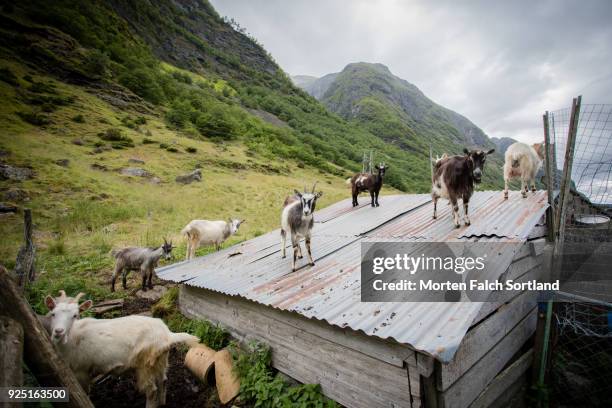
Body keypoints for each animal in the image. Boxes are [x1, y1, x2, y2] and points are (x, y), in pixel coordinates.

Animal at [45, 290, 198, 408]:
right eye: (53, 313)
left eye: (75, 315)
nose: (58, 331)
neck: (73, 337)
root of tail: (167, 334)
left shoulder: (80, 371)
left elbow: (85, 392)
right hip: (159, 360)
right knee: (163, 381)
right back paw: (162, 403)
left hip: (145, 364)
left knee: (151, 390)